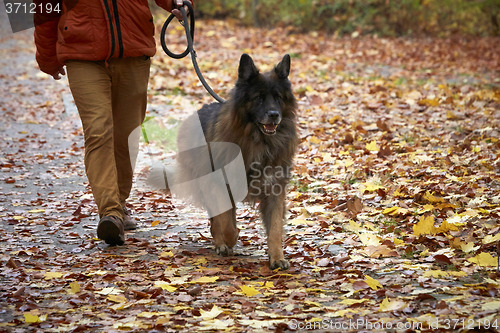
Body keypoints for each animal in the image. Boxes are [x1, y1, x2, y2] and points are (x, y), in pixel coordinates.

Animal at [152, 53, 296, 268]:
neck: (257, 141)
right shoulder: (220, 185)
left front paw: (277, 256)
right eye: (259, 97)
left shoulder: (274, 190)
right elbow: (226, 223)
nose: (274, 115)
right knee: (217, 217)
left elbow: (275, 228)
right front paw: (228, 240)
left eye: (278, 97)